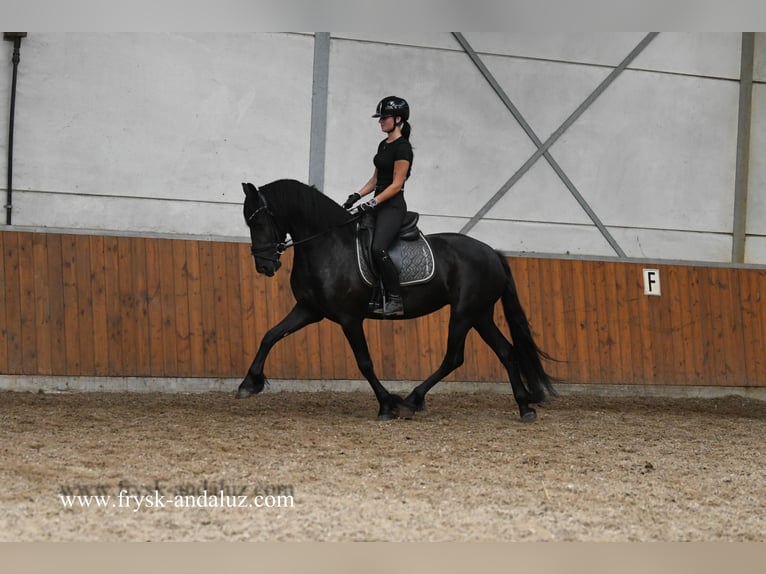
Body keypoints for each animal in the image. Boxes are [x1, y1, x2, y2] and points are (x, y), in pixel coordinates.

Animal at [239, 179, 557, 421]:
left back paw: (411, 400)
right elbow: (270, 335)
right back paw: (524, 407)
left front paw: (386, 405)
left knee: (454, 357)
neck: (327, 244)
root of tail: (492, 253)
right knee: (507, 352)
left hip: (464, 313)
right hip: (480, 314)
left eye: (259, 221)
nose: (264, 266)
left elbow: (365, 362)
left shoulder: (349, 318)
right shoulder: (308, 309)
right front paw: (249, 383)